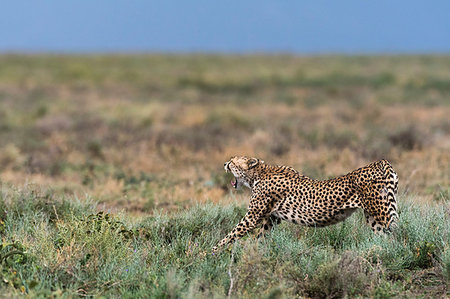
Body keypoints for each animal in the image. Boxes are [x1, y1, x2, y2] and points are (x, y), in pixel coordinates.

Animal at [213, 157, 400, 253]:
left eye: (232, 161)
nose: (224, 163)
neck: (259, 172)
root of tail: (379, 162)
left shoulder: (252, 218)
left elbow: (231, 235)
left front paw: (211, 252)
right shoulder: (273, 218)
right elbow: (261, 237)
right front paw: (255, 253)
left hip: (382, 213)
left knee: (399, 233)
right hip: (373, 217)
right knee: (385, 237)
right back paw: (380, 252)